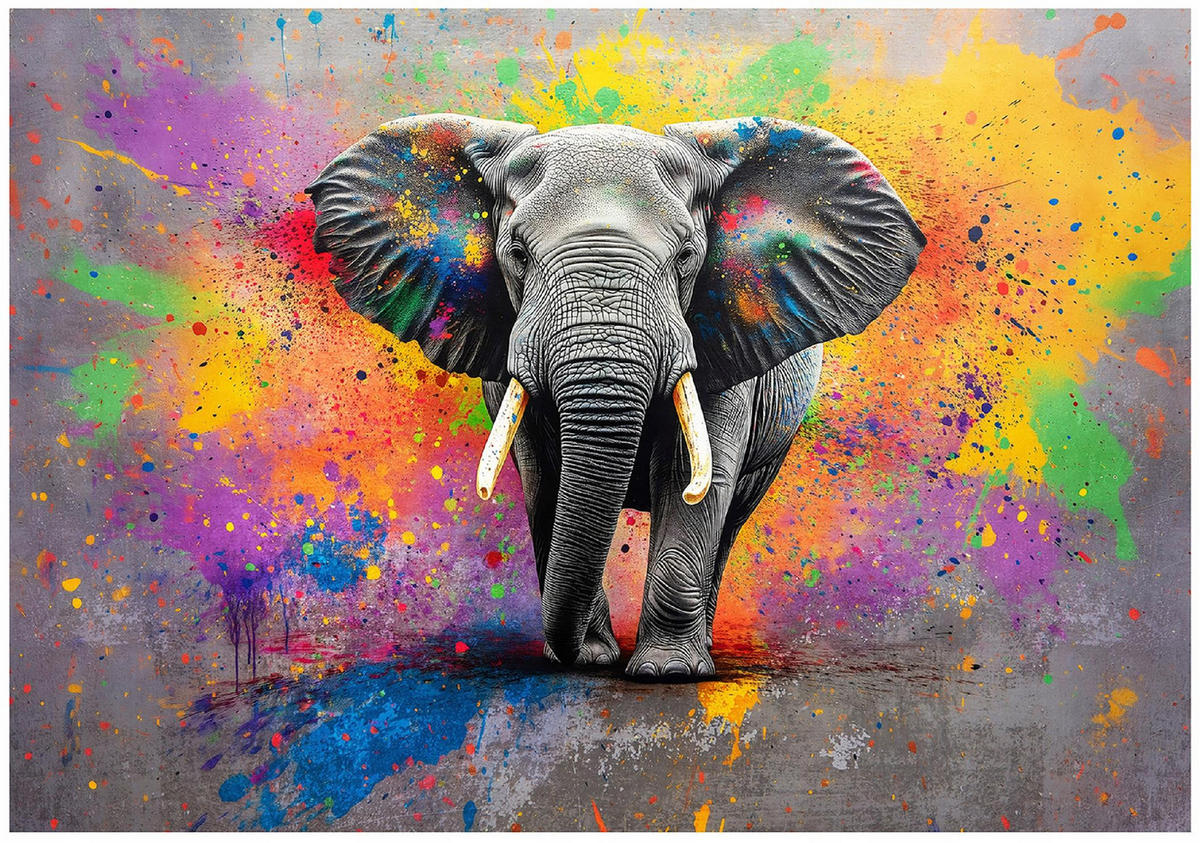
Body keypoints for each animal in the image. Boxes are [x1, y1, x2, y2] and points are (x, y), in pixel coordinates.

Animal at [306, 114, 925, 679]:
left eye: (686, 256)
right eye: (517, 254)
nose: (572, 654)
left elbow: (687, 479)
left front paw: (668, 672)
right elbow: (547, 481)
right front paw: (590, 659)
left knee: (731, 519)